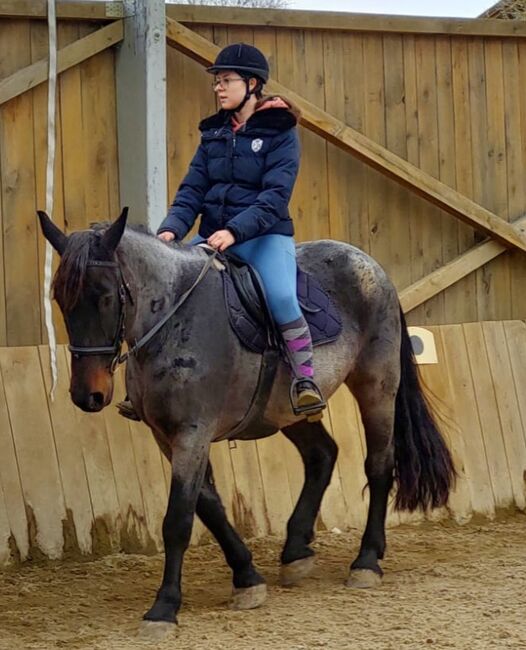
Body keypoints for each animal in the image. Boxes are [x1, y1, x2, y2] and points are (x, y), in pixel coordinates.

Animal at [39, 209, 456, 636]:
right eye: (60, 299)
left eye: (105, 296)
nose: (87, 396)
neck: (173, 319)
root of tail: (370, 265)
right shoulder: (167, 436)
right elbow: (209, 506)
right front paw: (247, 578)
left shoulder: (192, 433)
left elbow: (178, 520)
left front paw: (164, 607)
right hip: (287, 409)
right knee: (322, 455)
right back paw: (296, 552)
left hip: (376, 385)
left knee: (379, 465)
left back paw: (367, 560)